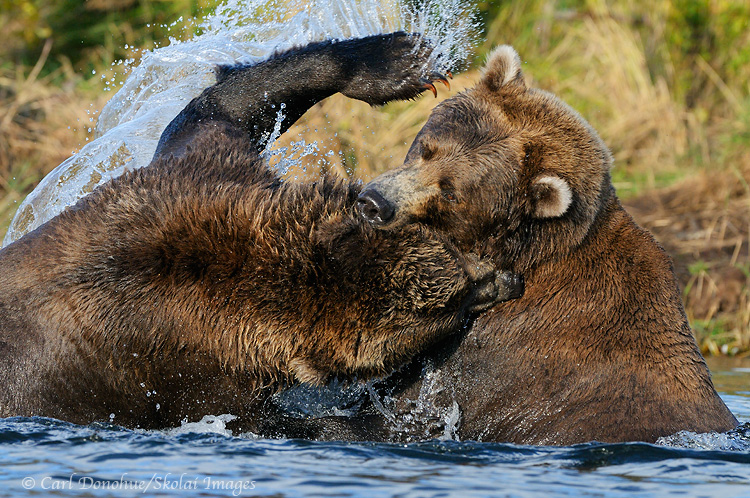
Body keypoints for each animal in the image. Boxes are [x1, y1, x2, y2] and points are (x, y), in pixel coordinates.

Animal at [0, 34, 523, 431]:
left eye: (456, 248)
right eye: (451, 305)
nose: (510, 279)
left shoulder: (196, 177)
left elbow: (225, 103)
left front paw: (404, 57)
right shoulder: (182, 370)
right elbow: (264, 420)